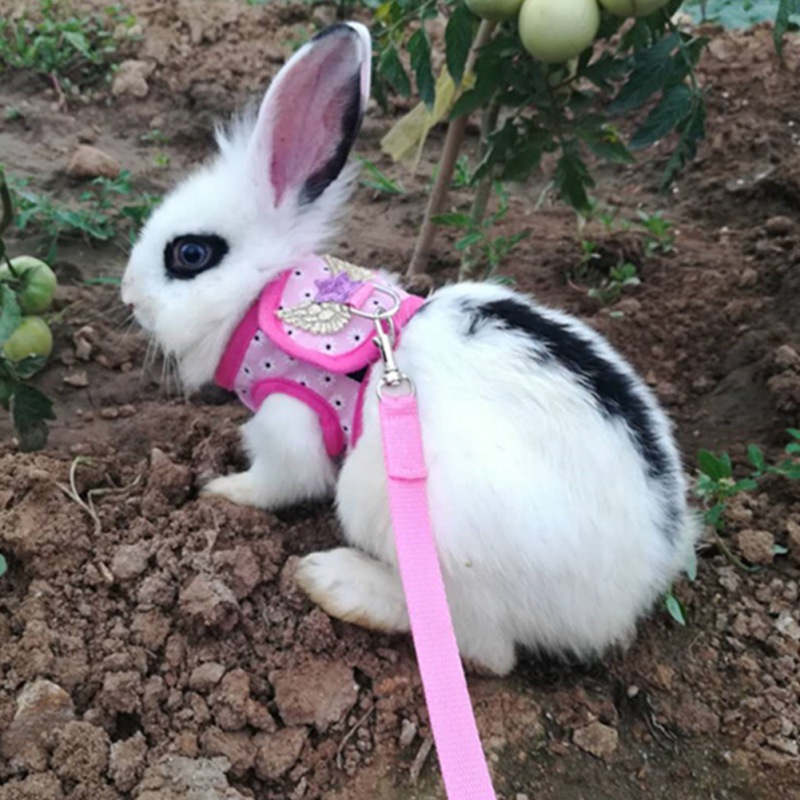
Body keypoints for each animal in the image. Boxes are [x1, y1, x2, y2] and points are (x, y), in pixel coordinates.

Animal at [121, 22, 698, 676]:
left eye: (189, 254)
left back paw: (336, 581)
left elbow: (279, 482)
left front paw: (222, 492)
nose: (129, 296)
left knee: (482, 646)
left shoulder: (289, 420)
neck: (265, 297)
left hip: (402, 513)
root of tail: (628, 594)